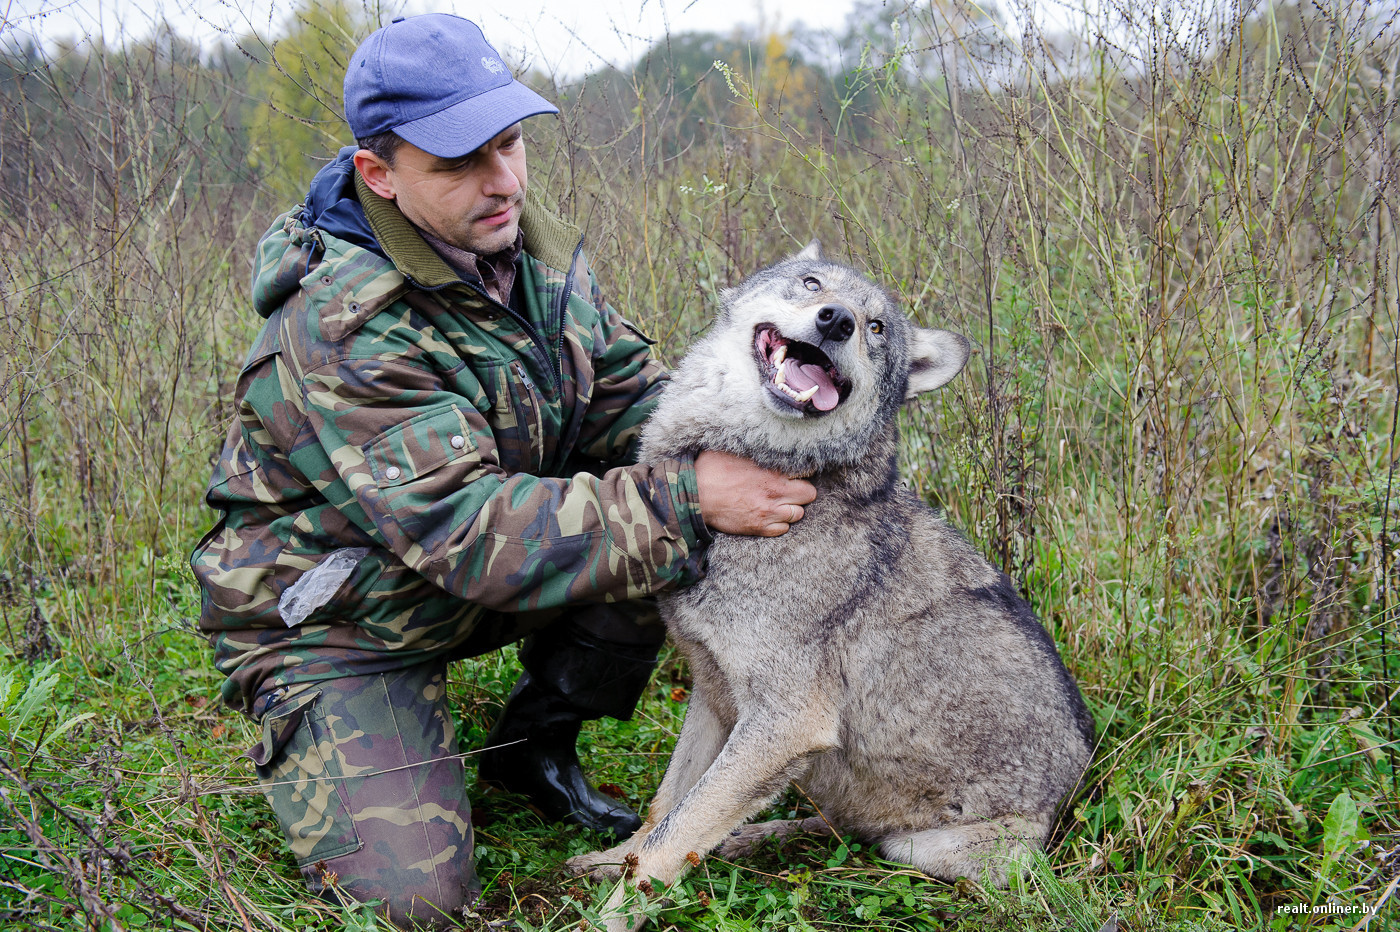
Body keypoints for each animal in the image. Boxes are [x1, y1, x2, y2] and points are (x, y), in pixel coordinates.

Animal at [565, 240, 1092, 929]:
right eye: (813, 284)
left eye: (877, 329)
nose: (837, 320)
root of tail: (1073, 799)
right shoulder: (713, 694)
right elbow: (664, 812)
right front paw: (610, 861)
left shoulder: (786, 724)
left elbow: (672, 840)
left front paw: (612, 915)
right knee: (830, 824)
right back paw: (751, 838)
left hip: (922, 847)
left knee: (862, 841)